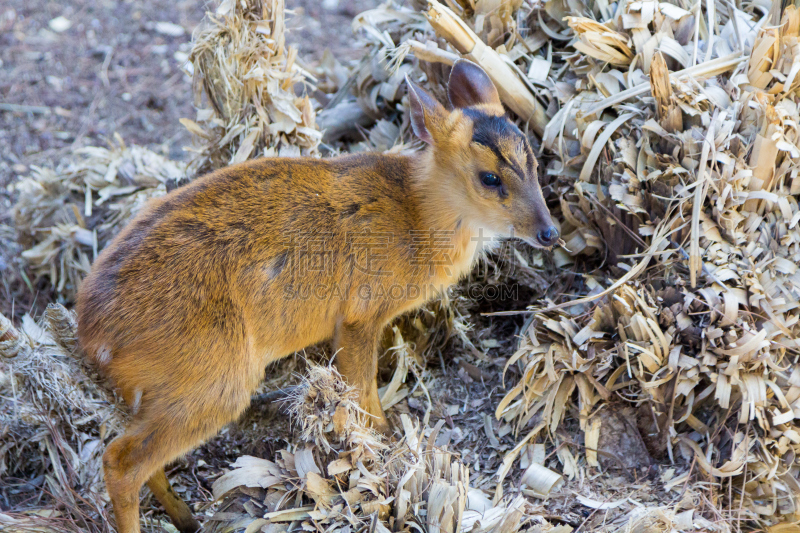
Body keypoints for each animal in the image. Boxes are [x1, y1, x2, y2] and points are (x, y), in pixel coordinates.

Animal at [78, 59, 560, 532]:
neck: (416, 214)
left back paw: (189, 519)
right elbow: (363, 392)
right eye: (490, 177)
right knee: (120, 461)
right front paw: (383, 448)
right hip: (215, 380)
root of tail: (93, 337)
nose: (549, 232)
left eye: (534, 162)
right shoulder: (360, 313)